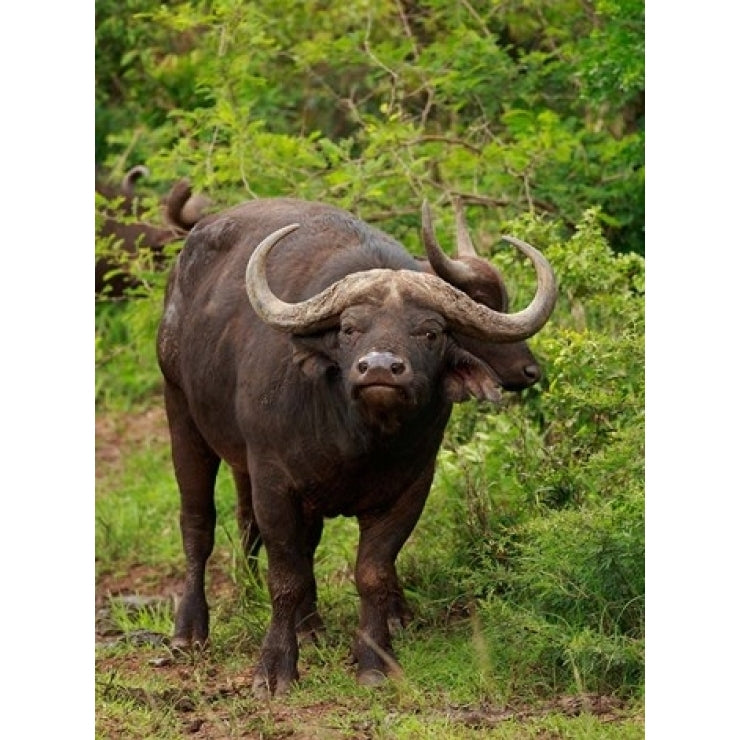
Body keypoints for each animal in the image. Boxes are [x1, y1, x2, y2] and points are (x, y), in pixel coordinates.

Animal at [158, 195, 556, 692]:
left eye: (431, 331)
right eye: (349, 328)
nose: (381, 368)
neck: (358, 437)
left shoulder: (409, 487)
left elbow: (372, 573)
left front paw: (375, 658)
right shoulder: (274, 481)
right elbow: (284, 575)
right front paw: (274, 668)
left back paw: (310, 628)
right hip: (181, 412)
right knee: (198, 523)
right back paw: (190, 630)